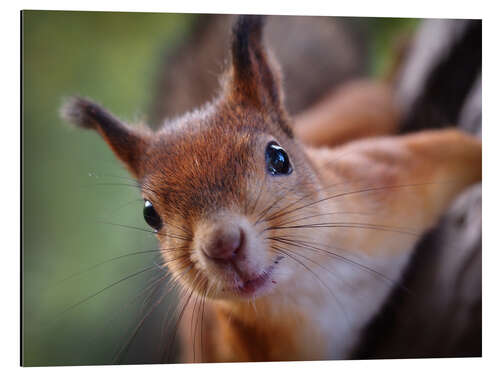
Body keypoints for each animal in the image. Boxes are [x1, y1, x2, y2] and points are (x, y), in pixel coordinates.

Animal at [60, 15, 482, 364]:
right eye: (150, 214)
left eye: (279, 158)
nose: (223, 246)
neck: (308, 283)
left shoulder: (389, 179)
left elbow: (460, 150)